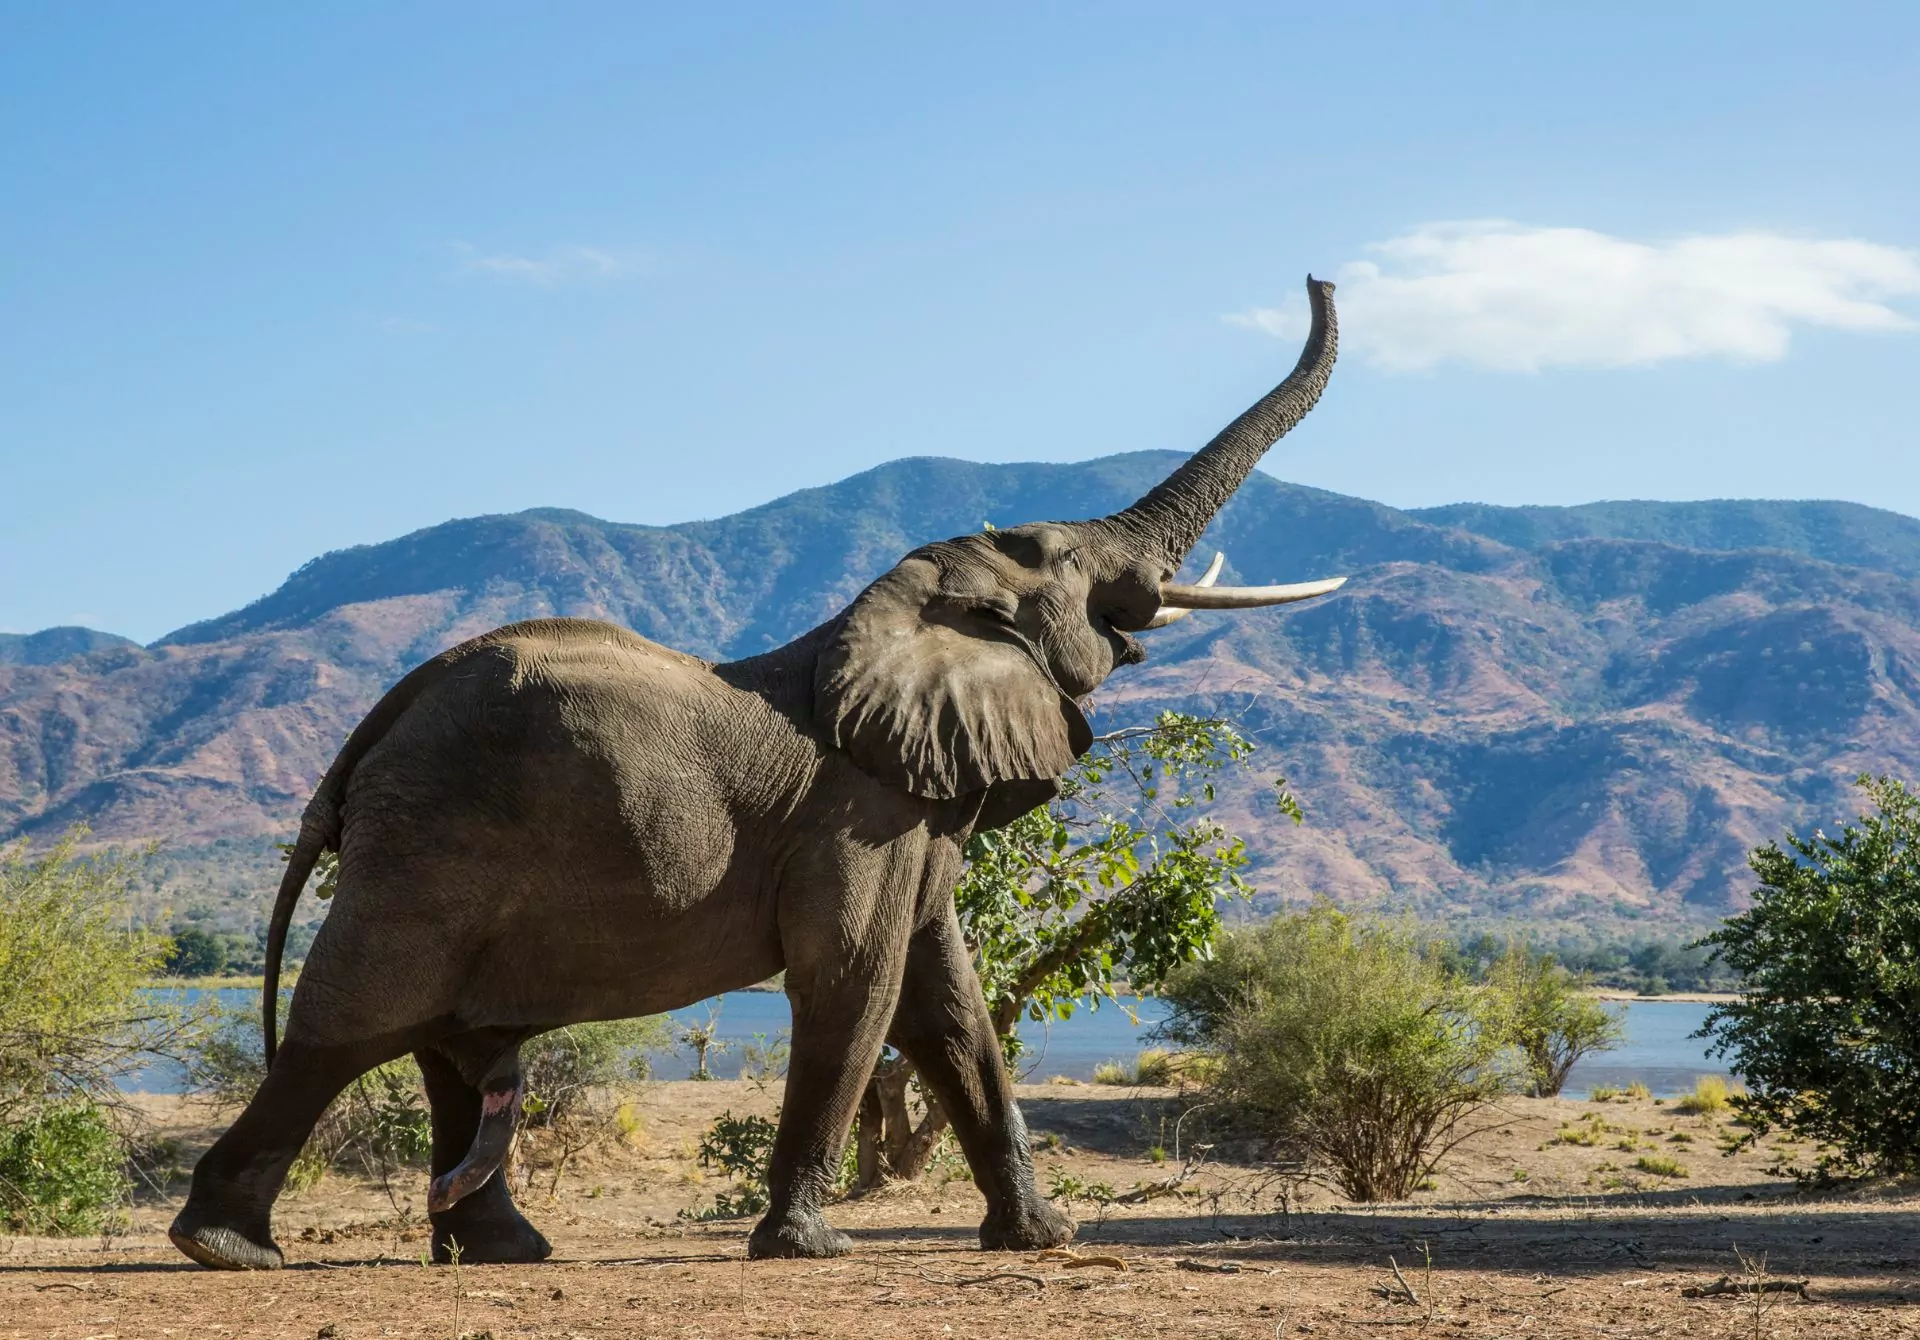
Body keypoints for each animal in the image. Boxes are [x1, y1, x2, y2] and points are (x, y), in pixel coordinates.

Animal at [168, 276, 1341, 1271]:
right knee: (351, 1026)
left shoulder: (913, 812)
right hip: (428, 843)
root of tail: (370, 733)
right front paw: (810, 1247)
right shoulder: (859, 817)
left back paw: (501, 1251)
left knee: (444, 1046)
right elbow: (857, 983)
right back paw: (226, 1248)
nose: (1321, 277)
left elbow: (949, 1004)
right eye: (1065, 561)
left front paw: (1041, 1238)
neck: (894, 613)